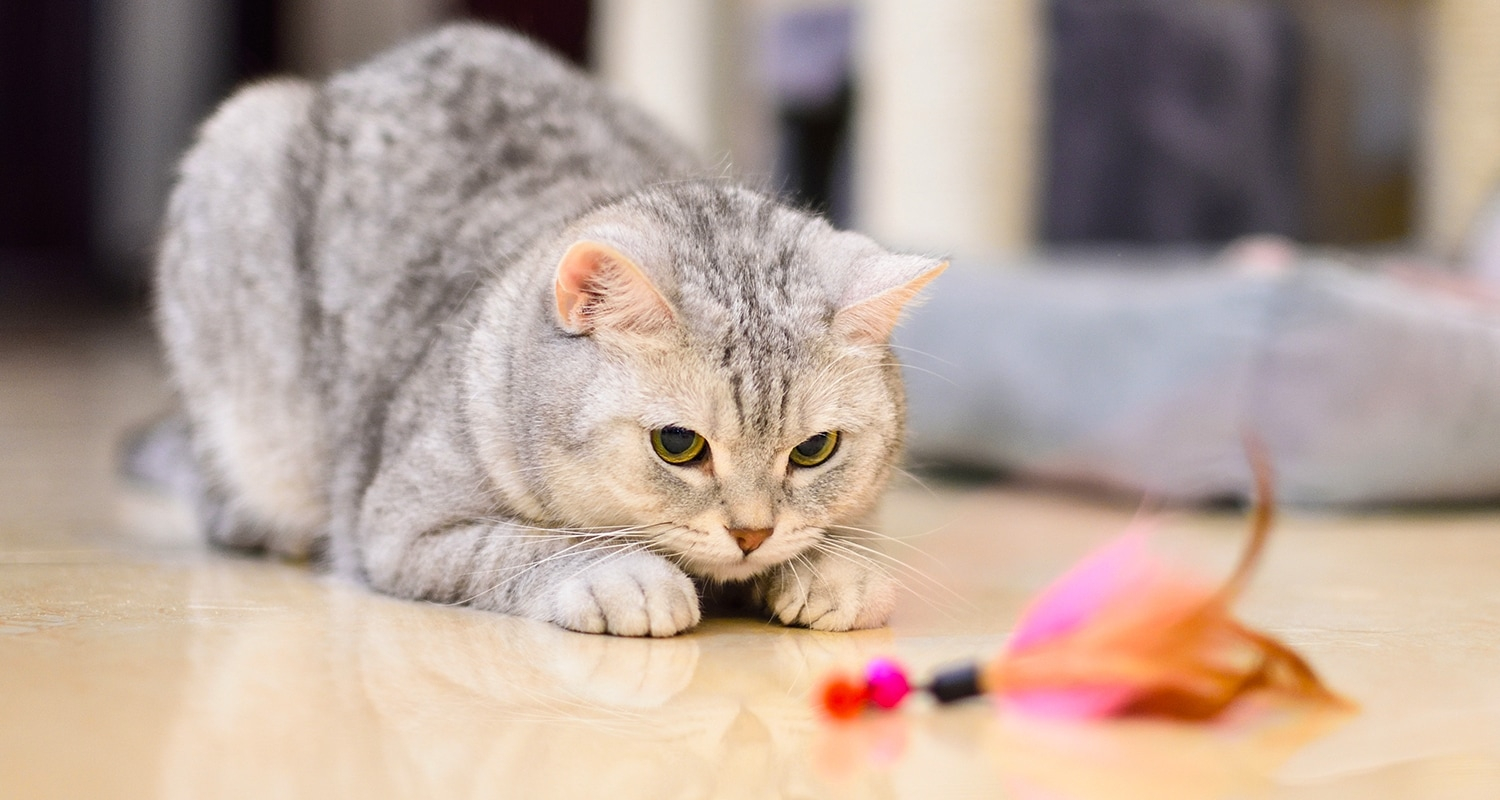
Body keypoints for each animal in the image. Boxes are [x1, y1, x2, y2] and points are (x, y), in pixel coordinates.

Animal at [155, 23, 948, 636]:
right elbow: (531, 547)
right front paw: (627, 577)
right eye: (678, 445)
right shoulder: (404, 528)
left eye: (814, 450)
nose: (752, 534)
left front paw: (832, 572)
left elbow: (841, 538)